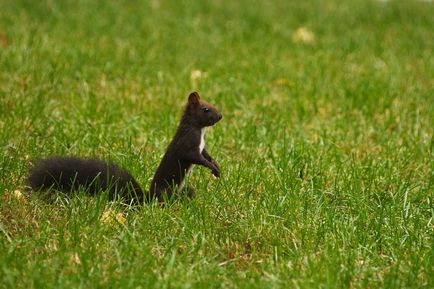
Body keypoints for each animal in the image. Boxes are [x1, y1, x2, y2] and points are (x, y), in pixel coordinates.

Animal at [26, 91, 222, 202]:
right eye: (205, 109)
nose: (220, 116)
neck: (199, 130)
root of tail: (147, 199)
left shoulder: (201, 146)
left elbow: (206, 154)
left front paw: (216, 166)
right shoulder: (187, 143)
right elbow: (194, 157)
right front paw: (211, 167)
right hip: (167, 191)